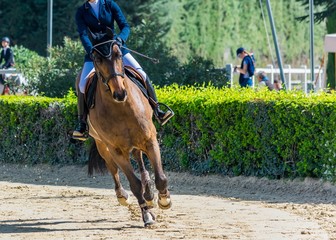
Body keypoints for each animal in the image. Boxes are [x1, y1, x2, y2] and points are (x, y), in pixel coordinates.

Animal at [77, 31, 172, 227]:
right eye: (97, 59)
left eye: (118, 54)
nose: (120, 93)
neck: (121, 107)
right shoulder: (116, 150)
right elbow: (134, 184)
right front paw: (147, 215)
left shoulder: (149, 140)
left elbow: (160, 177)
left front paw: (164, 200)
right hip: (102, 145)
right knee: (113, 169)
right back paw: (123, 196)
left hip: (137, 142)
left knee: (140, 160)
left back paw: (149, 191)